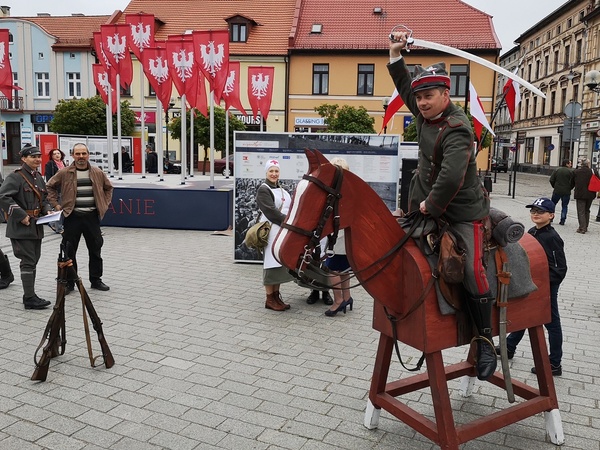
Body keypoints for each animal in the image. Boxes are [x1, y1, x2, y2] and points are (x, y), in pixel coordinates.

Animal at [273, 149, 564, 450]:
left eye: (318, 200)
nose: (280, 250)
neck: (397, 263)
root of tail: (531, 239)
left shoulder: (431, 348)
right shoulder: (390, 331)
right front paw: (371, 419)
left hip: (534, 321)